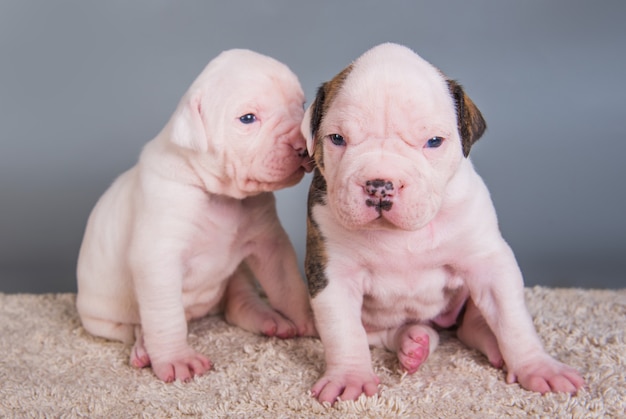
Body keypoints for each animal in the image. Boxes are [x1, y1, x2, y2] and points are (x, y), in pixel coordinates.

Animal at [75, 48, 314, 384]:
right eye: (248, 118)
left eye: (301, 105)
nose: (303, 146)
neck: (219, 193)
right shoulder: (158, 258)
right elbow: (165, 316)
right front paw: (176, 359)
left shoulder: (270, 242)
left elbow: (288, 284)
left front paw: (309, 320)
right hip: (101, 318)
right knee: (139, 326)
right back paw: (144, 348)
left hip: (237, 275)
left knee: (236, 299)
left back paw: (267, 318)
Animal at [300, 42, 584, 404]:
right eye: (337, 138)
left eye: (433, 141)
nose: (380, 185)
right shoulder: (331, 273)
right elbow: (344, 331)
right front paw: (350, 376)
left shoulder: (489, 264)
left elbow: (513, 320)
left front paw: (539, 368)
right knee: (384, 334)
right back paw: (414, 343)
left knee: (473, 323)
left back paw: (487, 345)